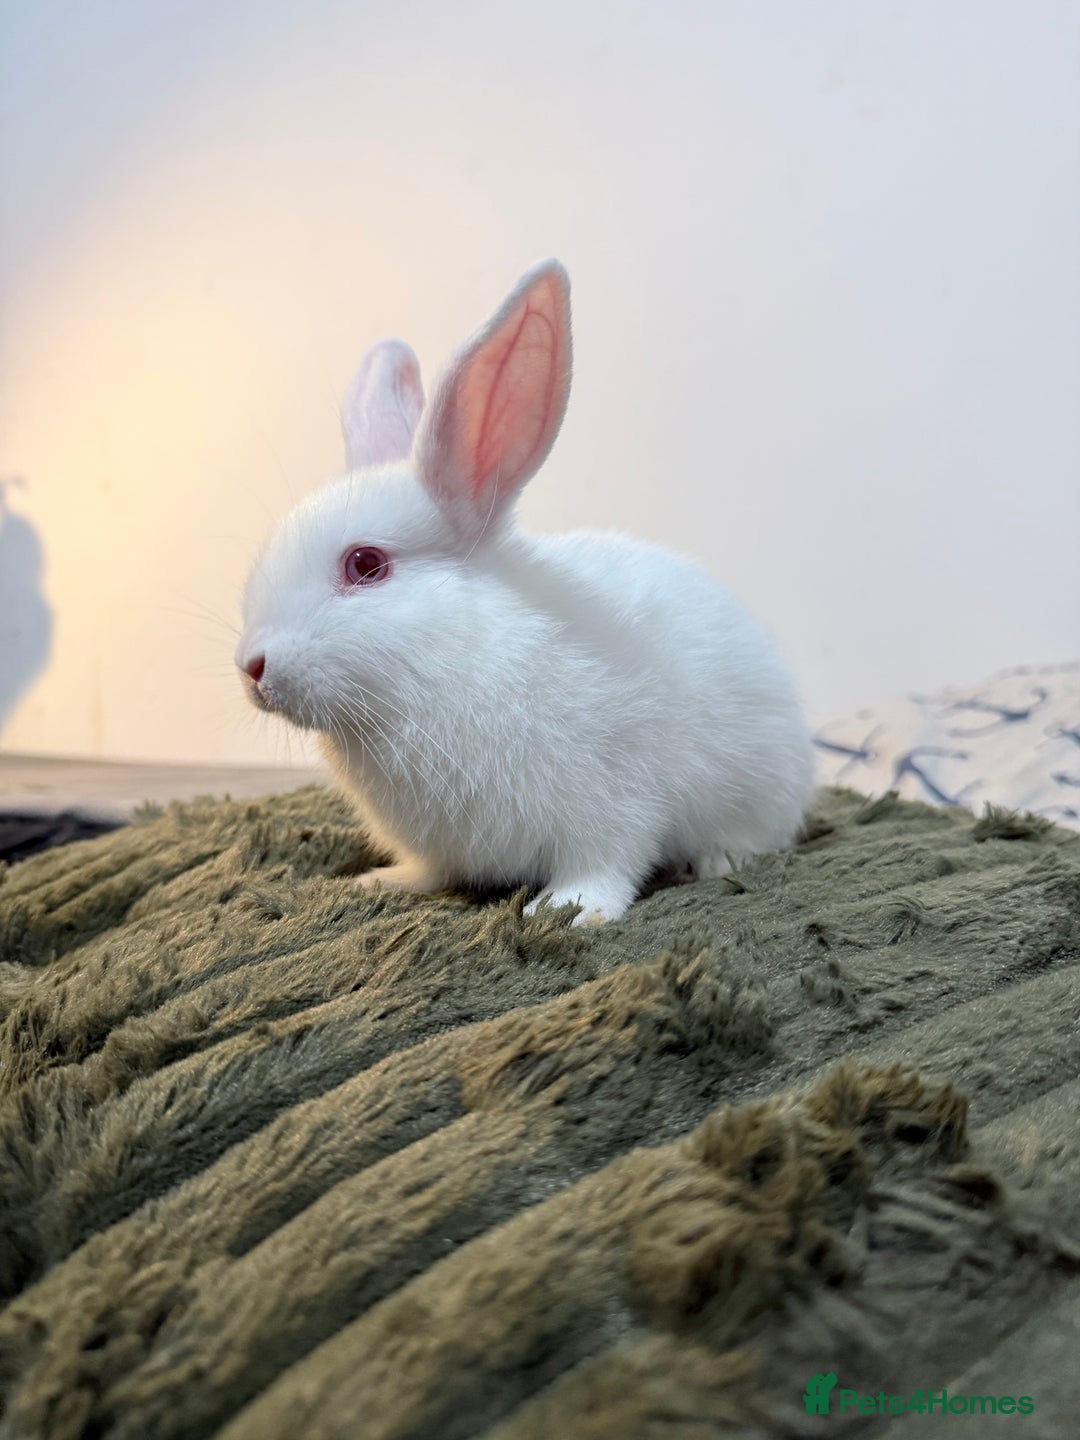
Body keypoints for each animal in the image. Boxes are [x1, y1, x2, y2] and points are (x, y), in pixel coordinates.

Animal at [237, 260, 816, 924]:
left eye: (366, 564)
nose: (251, 667)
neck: (450, 661)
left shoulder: (611, 801)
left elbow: (605, 863)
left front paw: (567, 911)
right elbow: (435, 870)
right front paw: (383, 881)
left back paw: (719, 858)